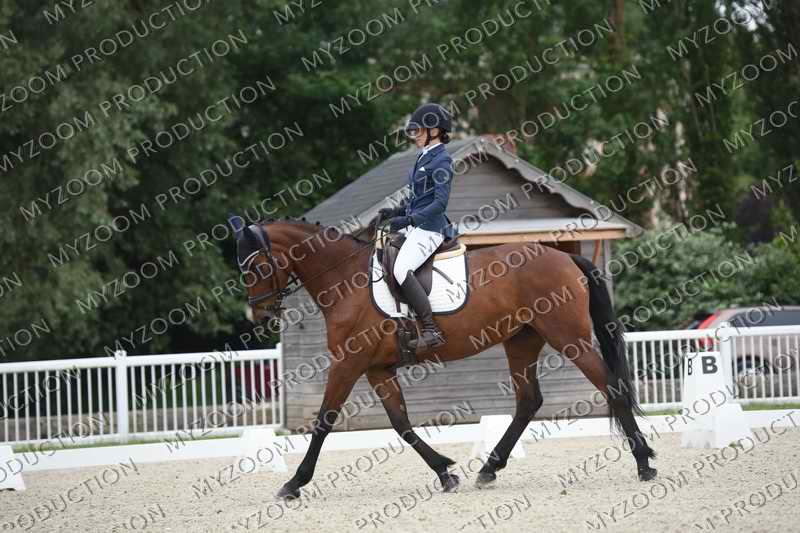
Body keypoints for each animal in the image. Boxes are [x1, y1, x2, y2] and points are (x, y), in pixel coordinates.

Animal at [232, 217, 657, 500]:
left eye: (256, 267)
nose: (259, 314)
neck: (346, 281)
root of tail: (565, 259)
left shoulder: (348, 365)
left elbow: (324, 421)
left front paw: (294, 483)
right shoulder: (377, 369)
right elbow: (401, 424)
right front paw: (444, 473)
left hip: (569, 338)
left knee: (611, 386)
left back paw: (644, 463)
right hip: (522, 341)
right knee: (528, 401)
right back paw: (489, 468)